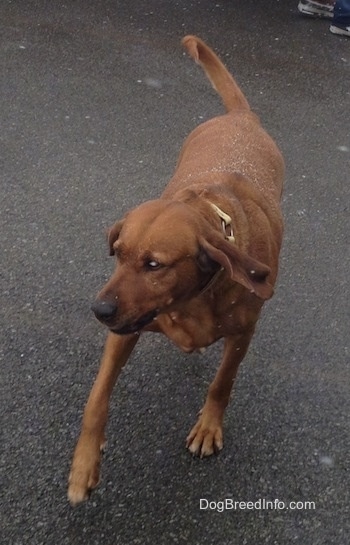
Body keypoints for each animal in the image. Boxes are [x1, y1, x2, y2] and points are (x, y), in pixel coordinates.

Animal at [67, 35, 284, 506]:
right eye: (118, 254)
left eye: (155, 265)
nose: (99, 311)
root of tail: (240, 117)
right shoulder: (124, 330)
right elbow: (96, 398)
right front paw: (84, 465)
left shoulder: (243, 334)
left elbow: (222, 382)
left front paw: (208, 425)